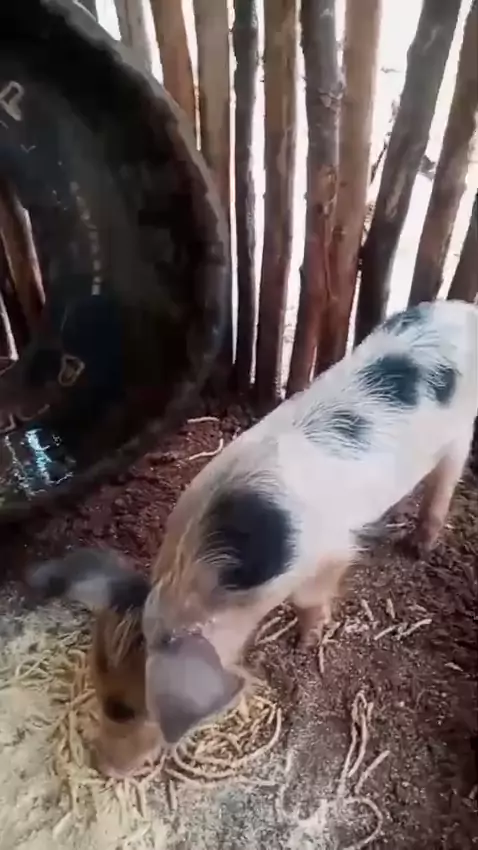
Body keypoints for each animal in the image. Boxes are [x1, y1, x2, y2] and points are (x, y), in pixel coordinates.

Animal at [27, 299, 478, 770]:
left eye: (129, 708)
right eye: (100, 689)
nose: (101, 765)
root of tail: (464, 310)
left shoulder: (328, 553)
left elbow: (310, 598)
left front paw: (305, 641)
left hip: (461, 430)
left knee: (445, 482)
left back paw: (419, 547)